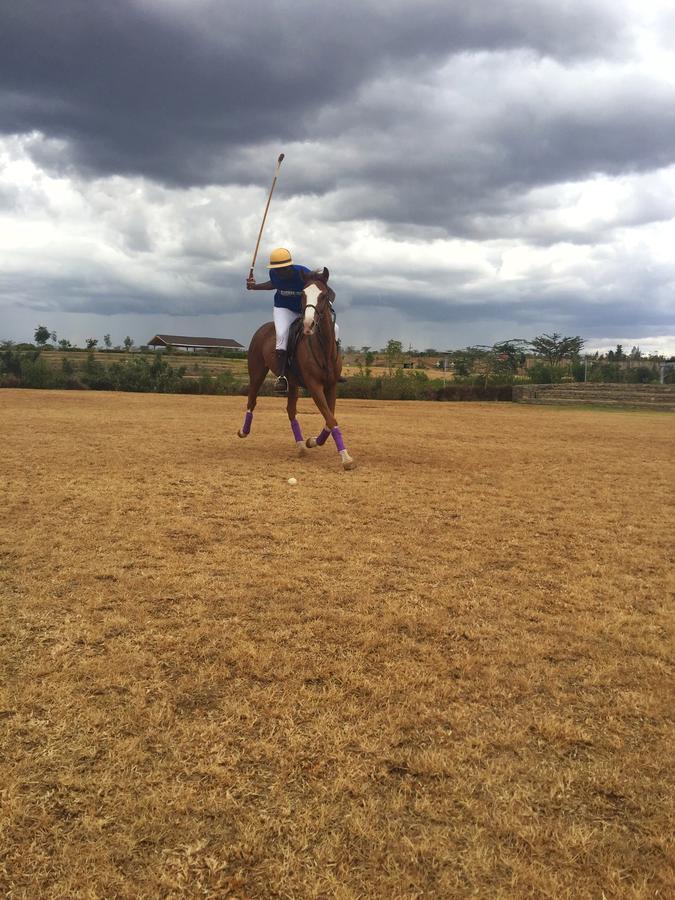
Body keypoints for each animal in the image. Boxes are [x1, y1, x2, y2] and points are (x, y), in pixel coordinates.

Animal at [238, 268, 356, 472]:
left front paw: (313, 441)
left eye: (324, 295)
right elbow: (331, 418)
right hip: (257, 372)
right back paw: (244, 431)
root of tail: (263, 328)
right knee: (252, 400)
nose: (308, 324)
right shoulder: (314, 386)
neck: (323, 347)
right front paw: (346, 458)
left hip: (292, 382)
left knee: (291, 410)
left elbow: (329, 419)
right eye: (303, 294)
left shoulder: (331, 385)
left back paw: (301, 445)